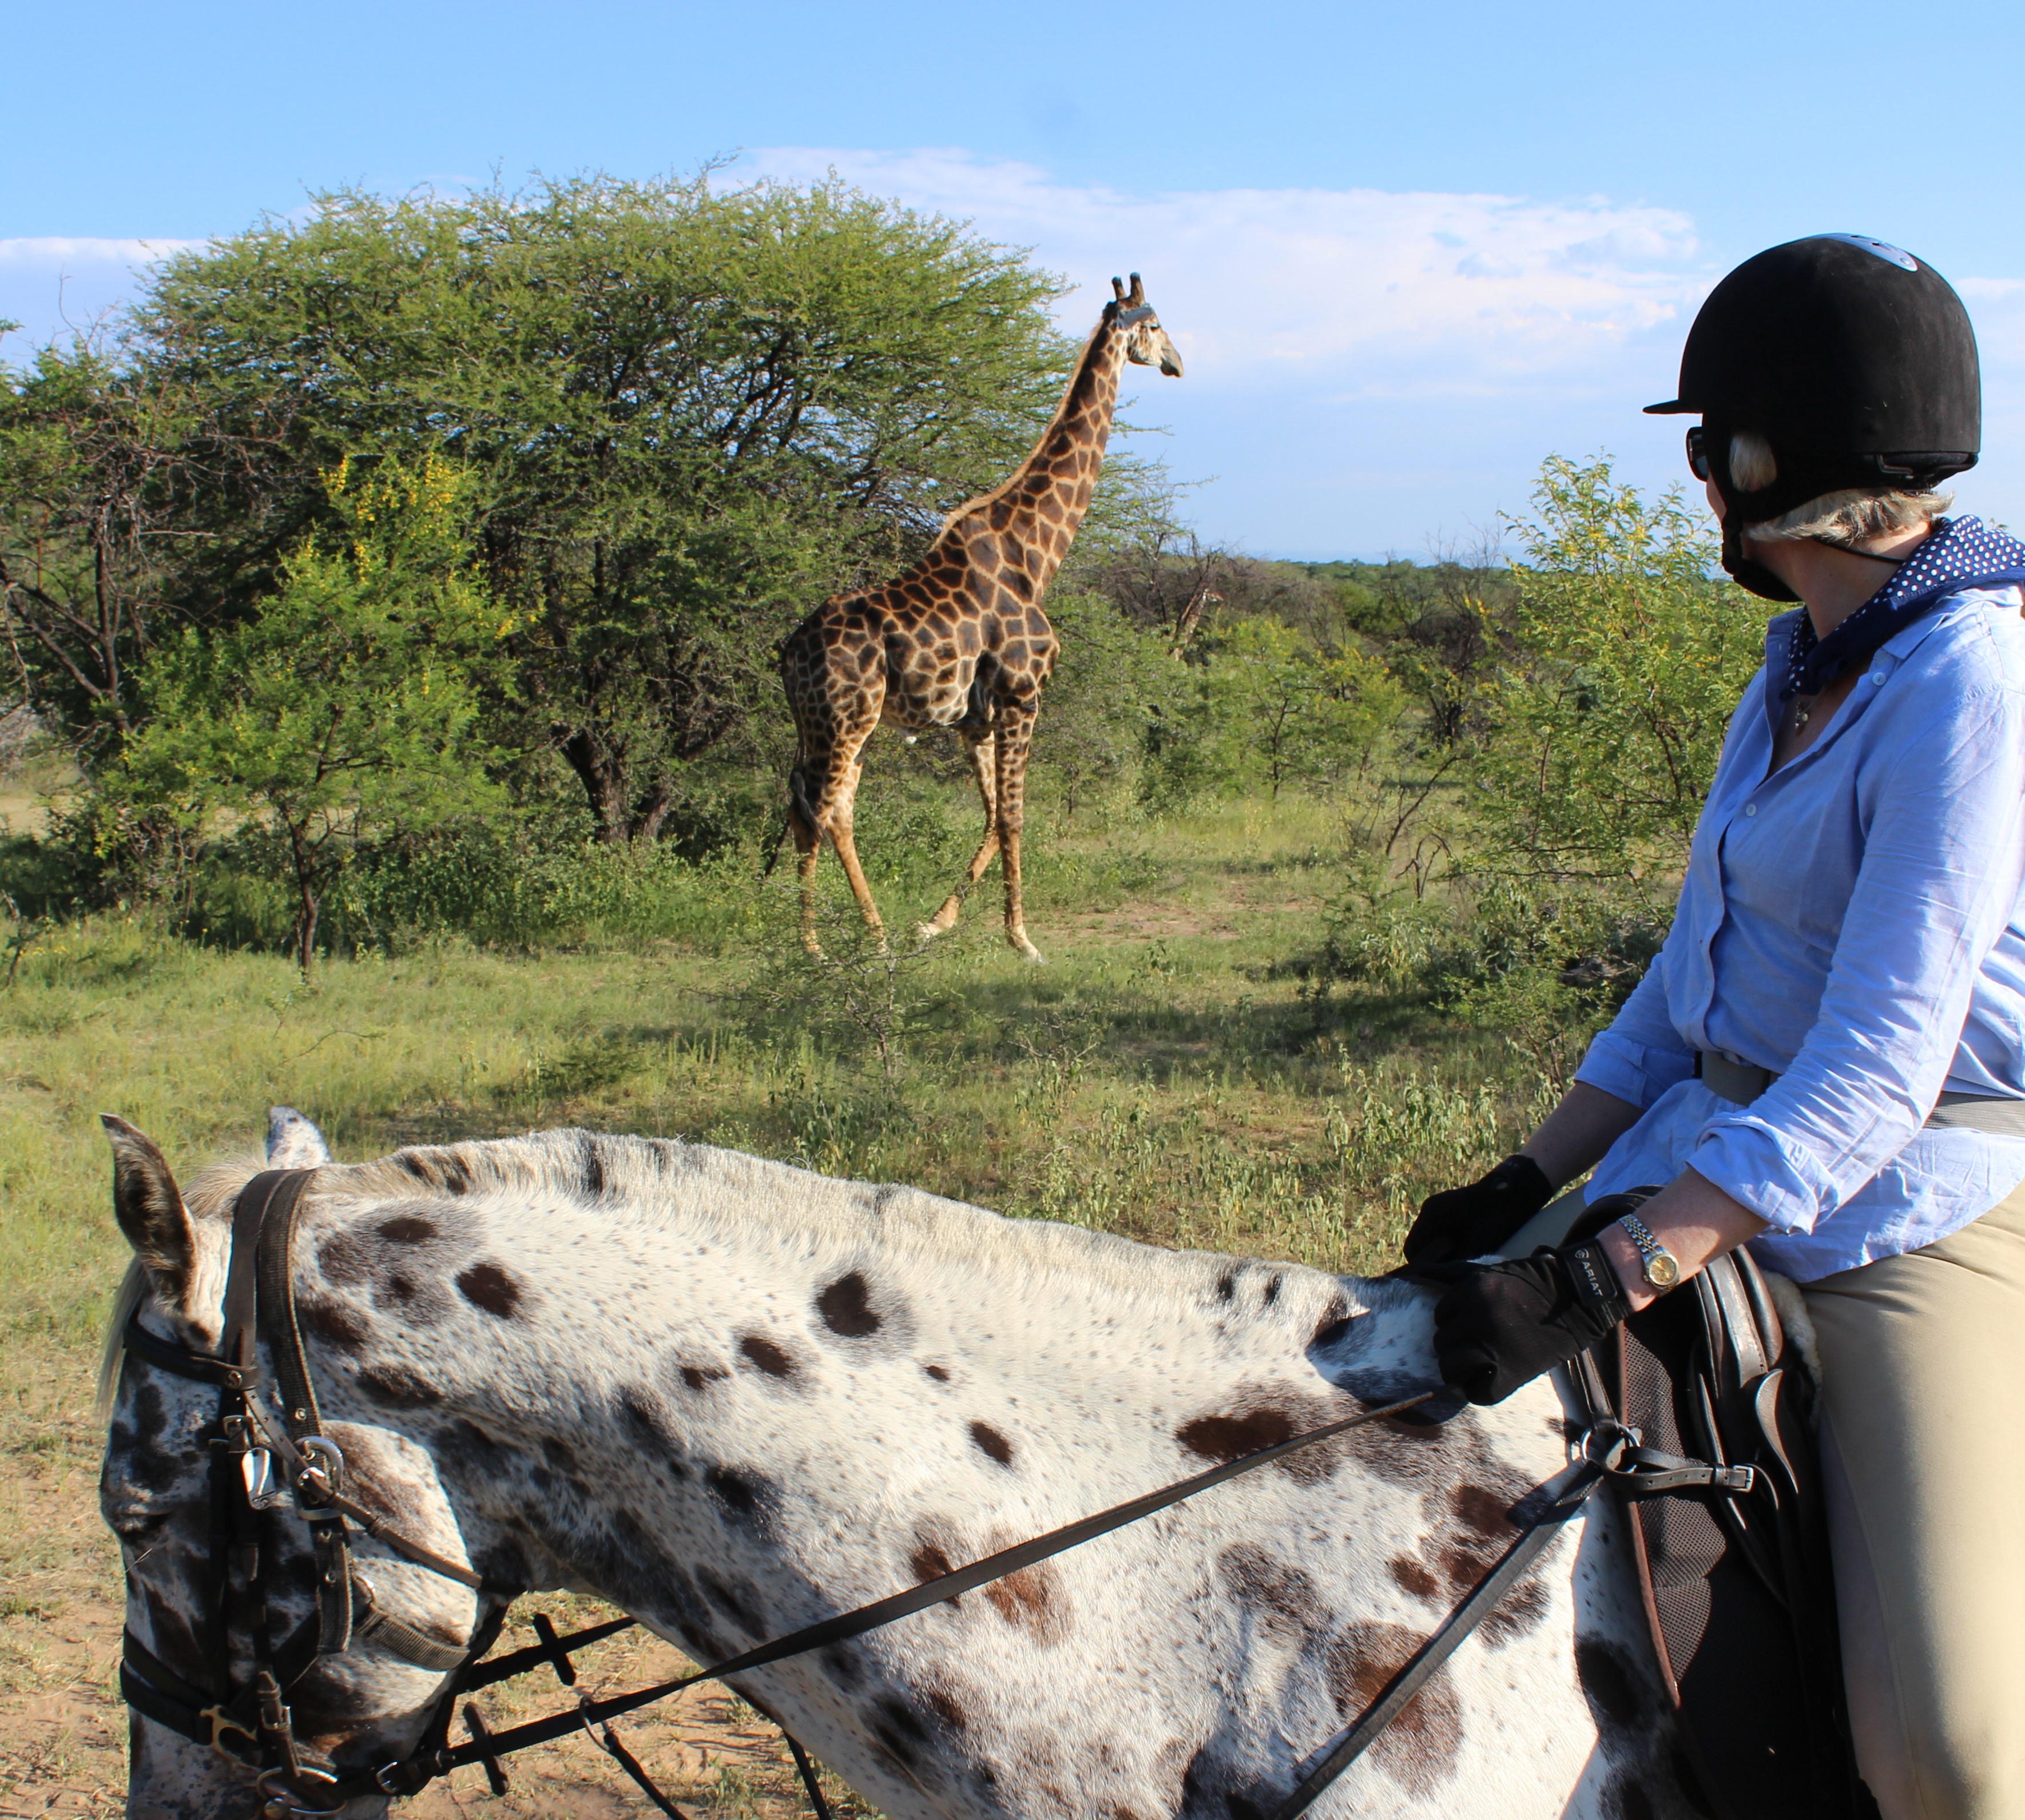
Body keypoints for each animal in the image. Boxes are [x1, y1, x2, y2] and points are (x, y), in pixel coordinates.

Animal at [776, 274, 1183, 962]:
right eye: (1154, 326)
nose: (1178, 363)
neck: (1034, 554)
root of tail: (785, 654)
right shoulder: (1024, 695)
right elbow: (1015, 816)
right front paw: (1023, 940)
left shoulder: (975, 718)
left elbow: (994, 815)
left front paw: (934, 924)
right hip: (845, 720)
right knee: (819, 812)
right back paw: (814, 949)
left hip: (832, 726)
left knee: (829, 810)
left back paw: (876, 937)